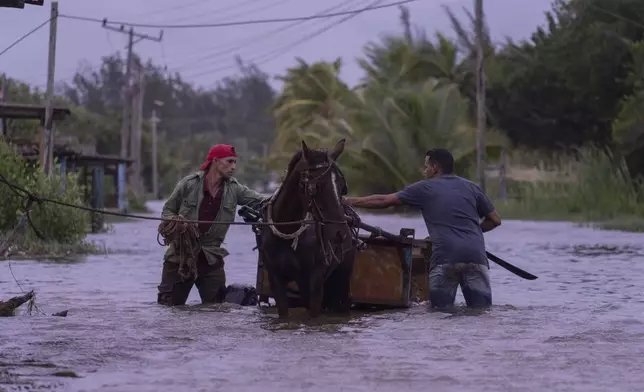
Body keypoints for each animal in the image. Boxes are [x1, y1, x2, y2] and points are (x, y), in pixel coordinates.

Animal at [258, 139, 358, 318]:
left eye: (342, 187)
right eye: (316, 187)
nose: (341, 233)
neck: (288, 229)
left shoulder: (313, 279)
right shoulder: (276, 279)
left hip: (342, 276)